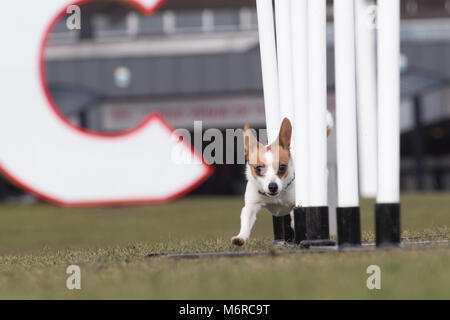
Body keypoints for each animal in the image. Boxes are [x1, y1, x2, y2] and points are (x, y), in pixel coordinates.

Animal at [234, 114, 332, 246]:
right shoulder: (251, 206)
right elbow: (246, 221)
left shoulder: (297, 202)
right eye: (259, 168)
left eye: (282, 167)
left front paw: (294, 222)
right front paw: (241, 237)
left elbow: (295, 213)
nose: (272, 186)